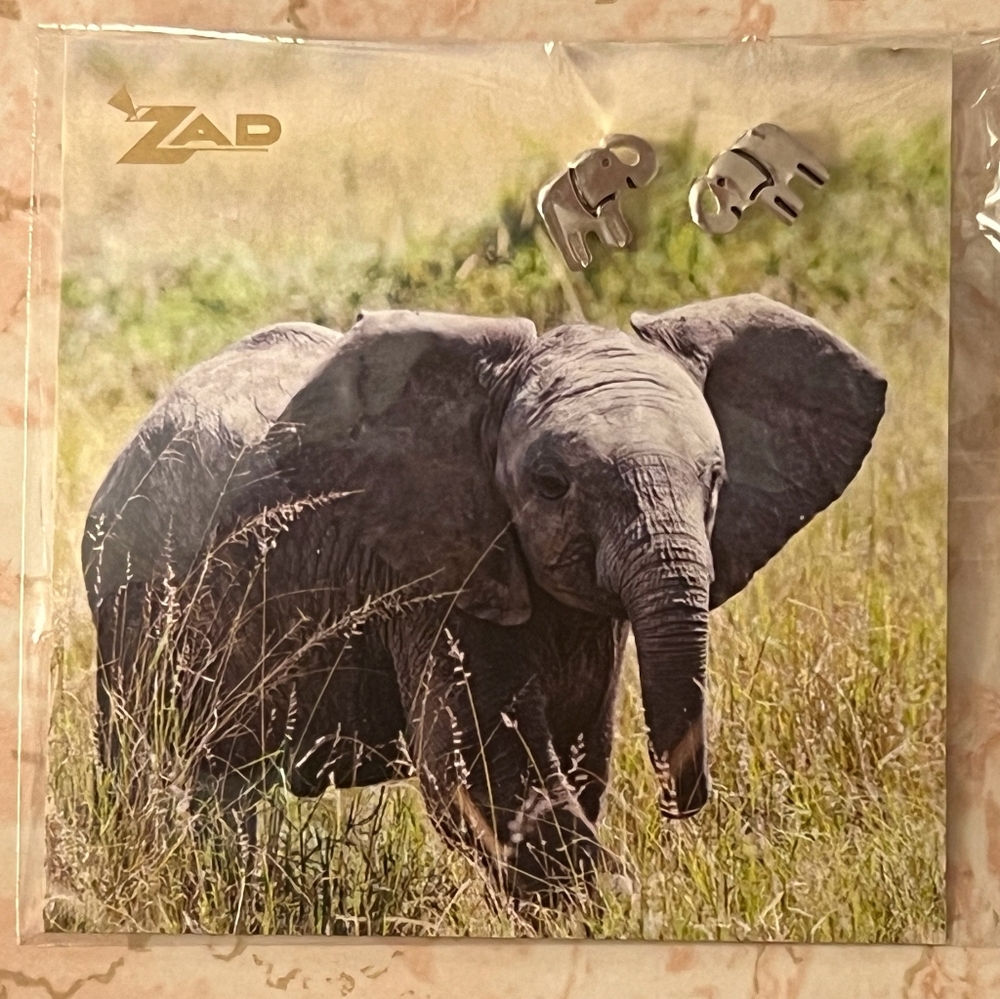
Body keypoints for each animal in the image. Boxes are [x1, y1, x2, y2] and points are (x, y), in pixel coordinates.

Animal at [83, 295, 886, 899]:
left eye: (715, 482)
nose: (680, 803)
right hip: (125, 600)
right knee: (152, 767)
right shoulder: (432, 578)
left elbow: (578, 757)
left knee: (224, 785)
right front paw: (621, 905)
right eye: (551, 485)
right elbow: (487, 770)